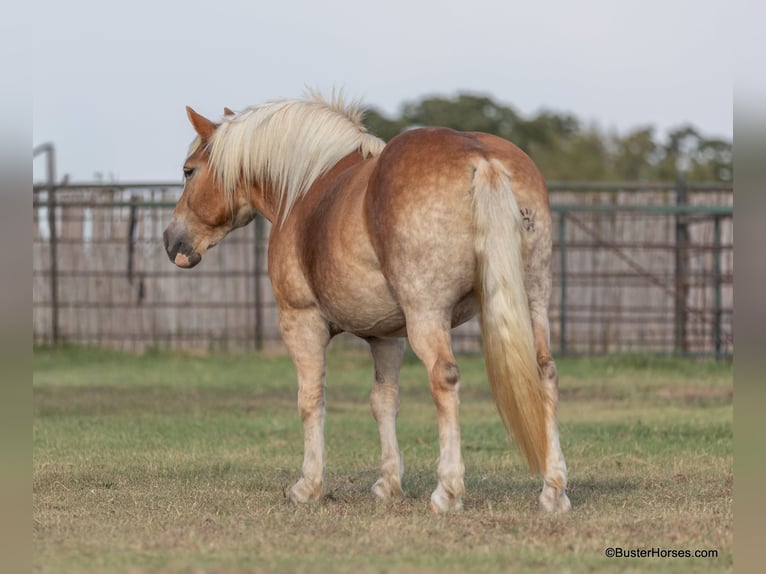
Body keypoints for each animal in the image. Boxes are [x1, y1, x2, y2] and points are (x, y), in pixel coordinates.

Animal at [162, 92, 568, 516]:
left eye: (189, 171)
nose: (172, 241)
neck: (307, 187)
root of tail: (482, 158)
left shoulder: (301, 321)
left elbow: (311, 399)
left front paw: (308, 485)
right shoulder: (388, 336)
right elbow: (383, 402)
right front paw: (388, 483)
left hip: (428, 316)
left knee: (444, 376)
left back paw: (448, 490)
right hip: (533, 301)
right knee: (546, 373)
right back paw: (553, 489)